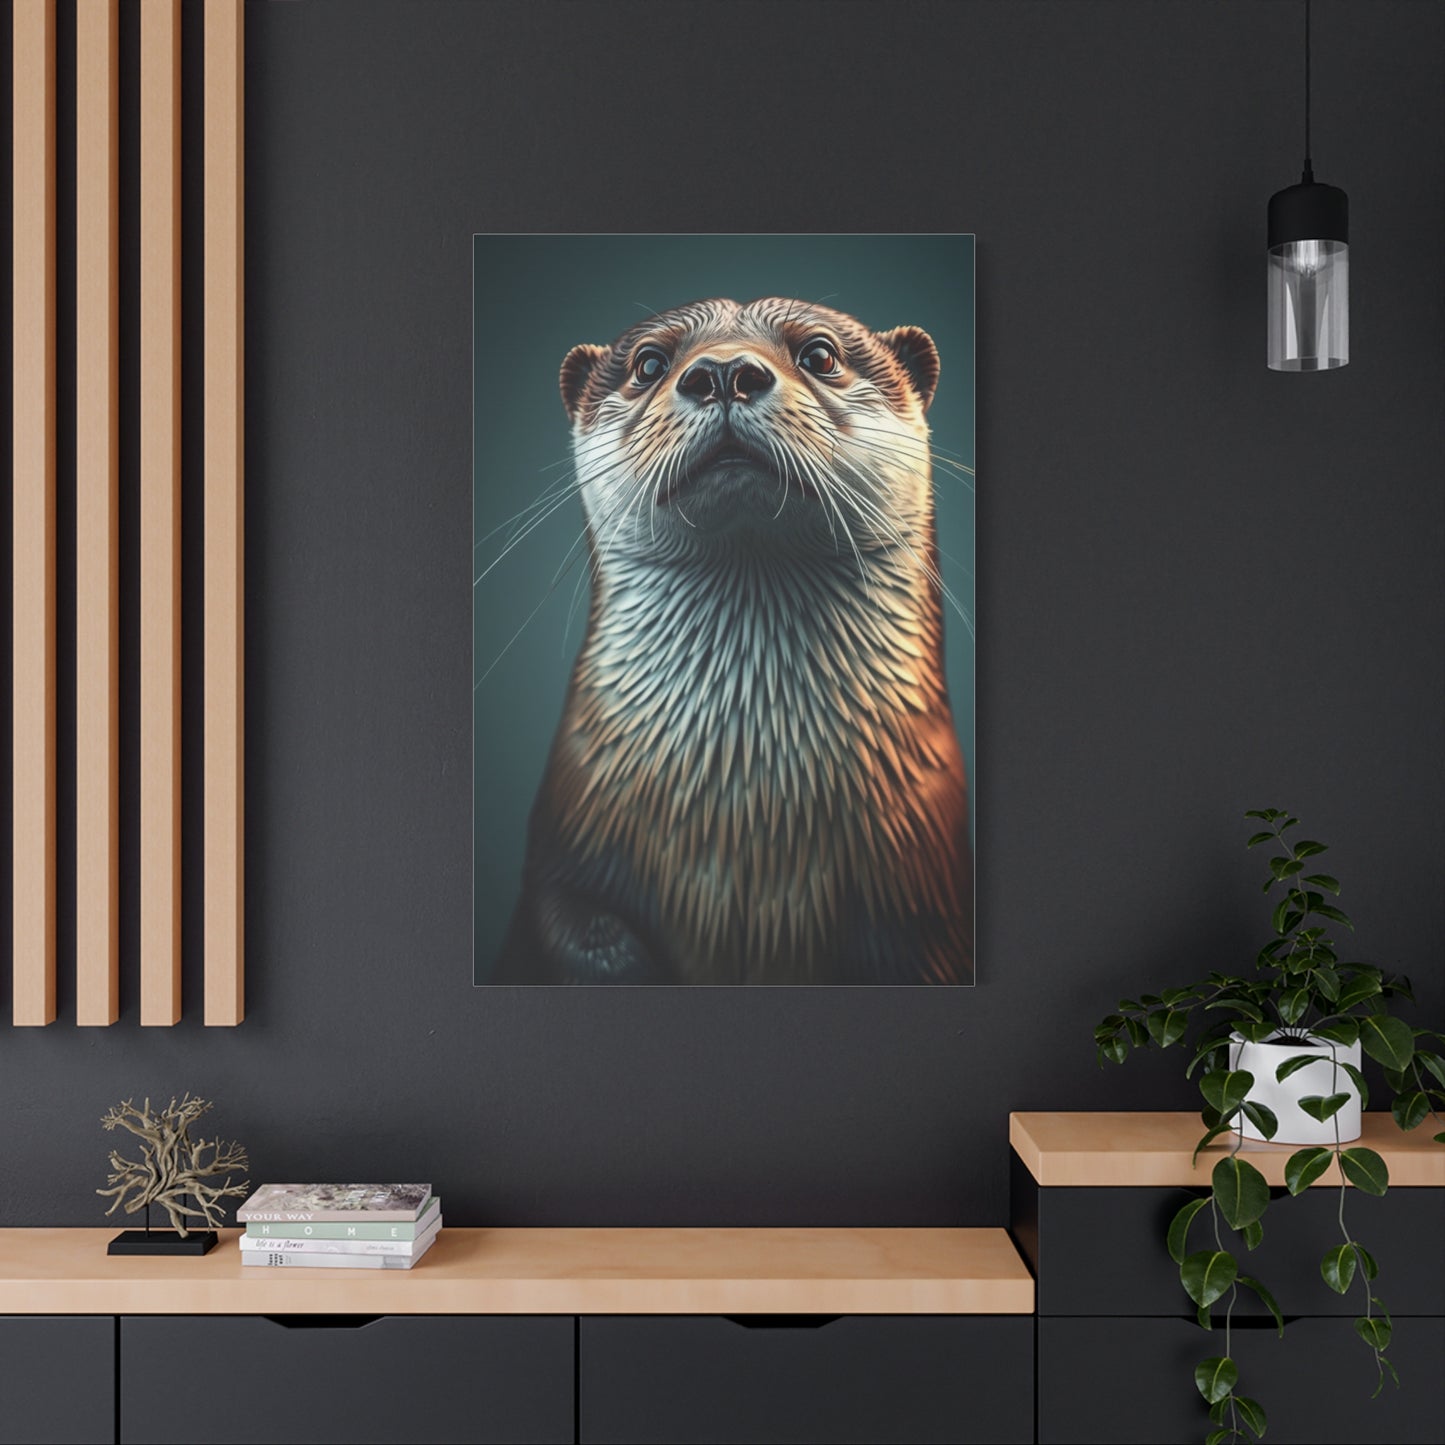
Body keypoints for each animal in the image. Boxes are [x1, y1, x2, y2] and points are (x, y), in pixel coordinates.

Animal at [495, 297, 972, 984]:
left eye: (820, 354)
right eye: (649, 363)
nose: (722, 373)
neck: (747, 814)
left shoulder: (931, 895)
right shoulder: (561, 858)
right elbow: (577, 932)